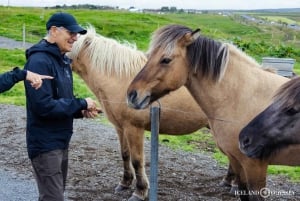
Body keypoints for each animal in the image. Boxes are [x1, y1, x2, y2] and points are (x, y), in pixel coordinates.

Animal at [67, 26, 214, 201]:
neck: (119, 79)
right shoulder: (120, 128)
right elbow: (125, 154)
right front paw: (124, 183)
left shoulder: (134, 128)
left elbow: (137, 160)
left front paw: (140, 191)